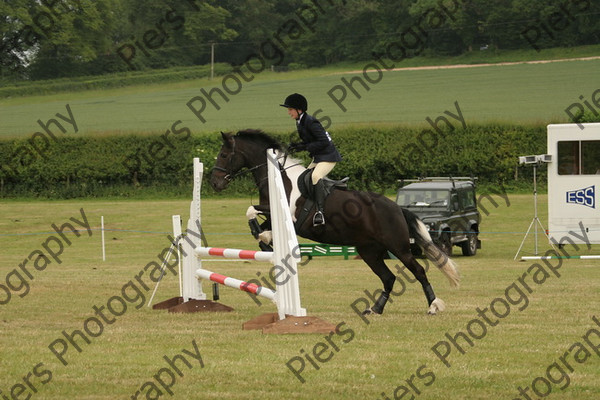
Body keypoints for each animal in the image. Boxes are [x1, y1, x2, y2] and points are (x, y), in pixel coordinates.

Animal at [210, 130, 460, 314]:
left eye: (223, 155)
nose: (215, 183)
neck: (276, 175)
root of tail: (397, 207)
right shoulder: (273, 216)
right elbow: (259, 225)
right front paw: (265, 240)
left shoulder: (285, 214)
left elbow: (250, 210)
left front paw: (263, 238)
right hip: (369, 250)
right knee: (388, 277)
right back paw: (375, 309)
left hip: (398, 246)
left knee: (418, 271)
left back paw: (433, 305)